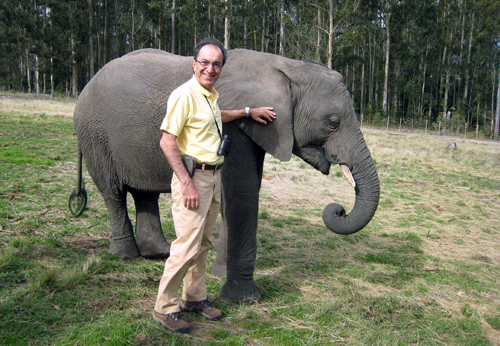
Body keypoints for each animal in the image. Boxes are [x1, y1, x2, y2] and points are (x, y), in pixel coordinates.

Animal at [71, 48, 378, 302]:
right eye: (333, 123)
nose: (338, 209)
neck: (288, 66)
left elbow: (238, 196)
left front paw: (219, 273)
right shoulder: (240, 129)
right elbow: (242, 192)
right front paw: (242, 297)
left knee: (144, 193)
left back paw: (160, 252)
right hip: (95, 133)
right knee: (113, 192)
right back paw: (125, 254)